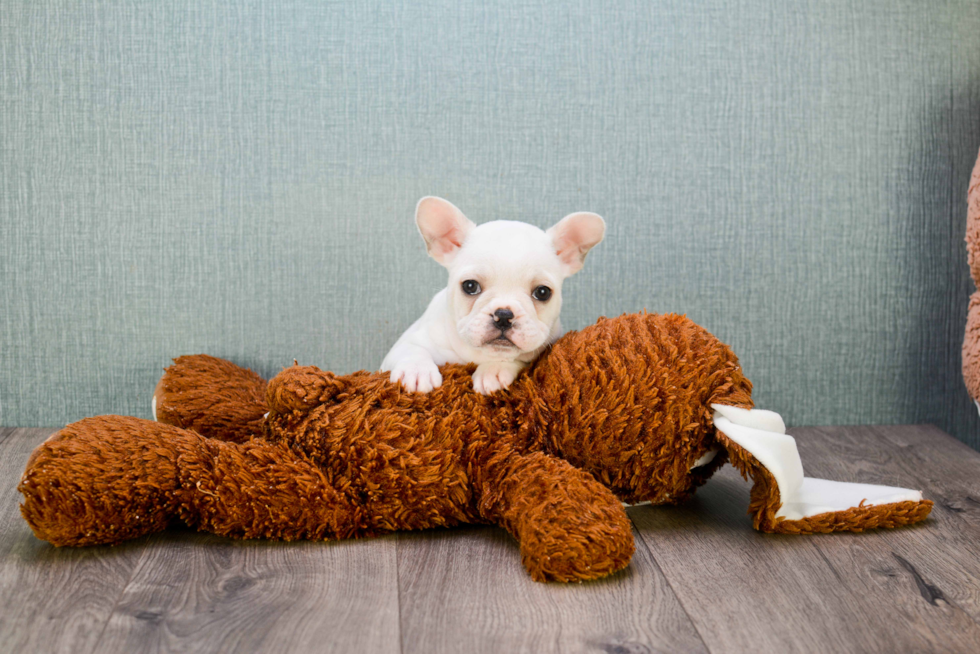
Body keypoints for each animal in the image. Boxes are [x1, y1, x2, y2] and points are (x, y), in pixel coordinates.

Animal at [382, 197, 604, 394]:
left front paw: (493, 370)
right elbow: (411, 350)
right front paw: (416, 371)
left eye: (543, 292)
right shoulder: (403, 346)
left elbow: (513, 359)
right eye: (470, 286)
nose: (504, 315)